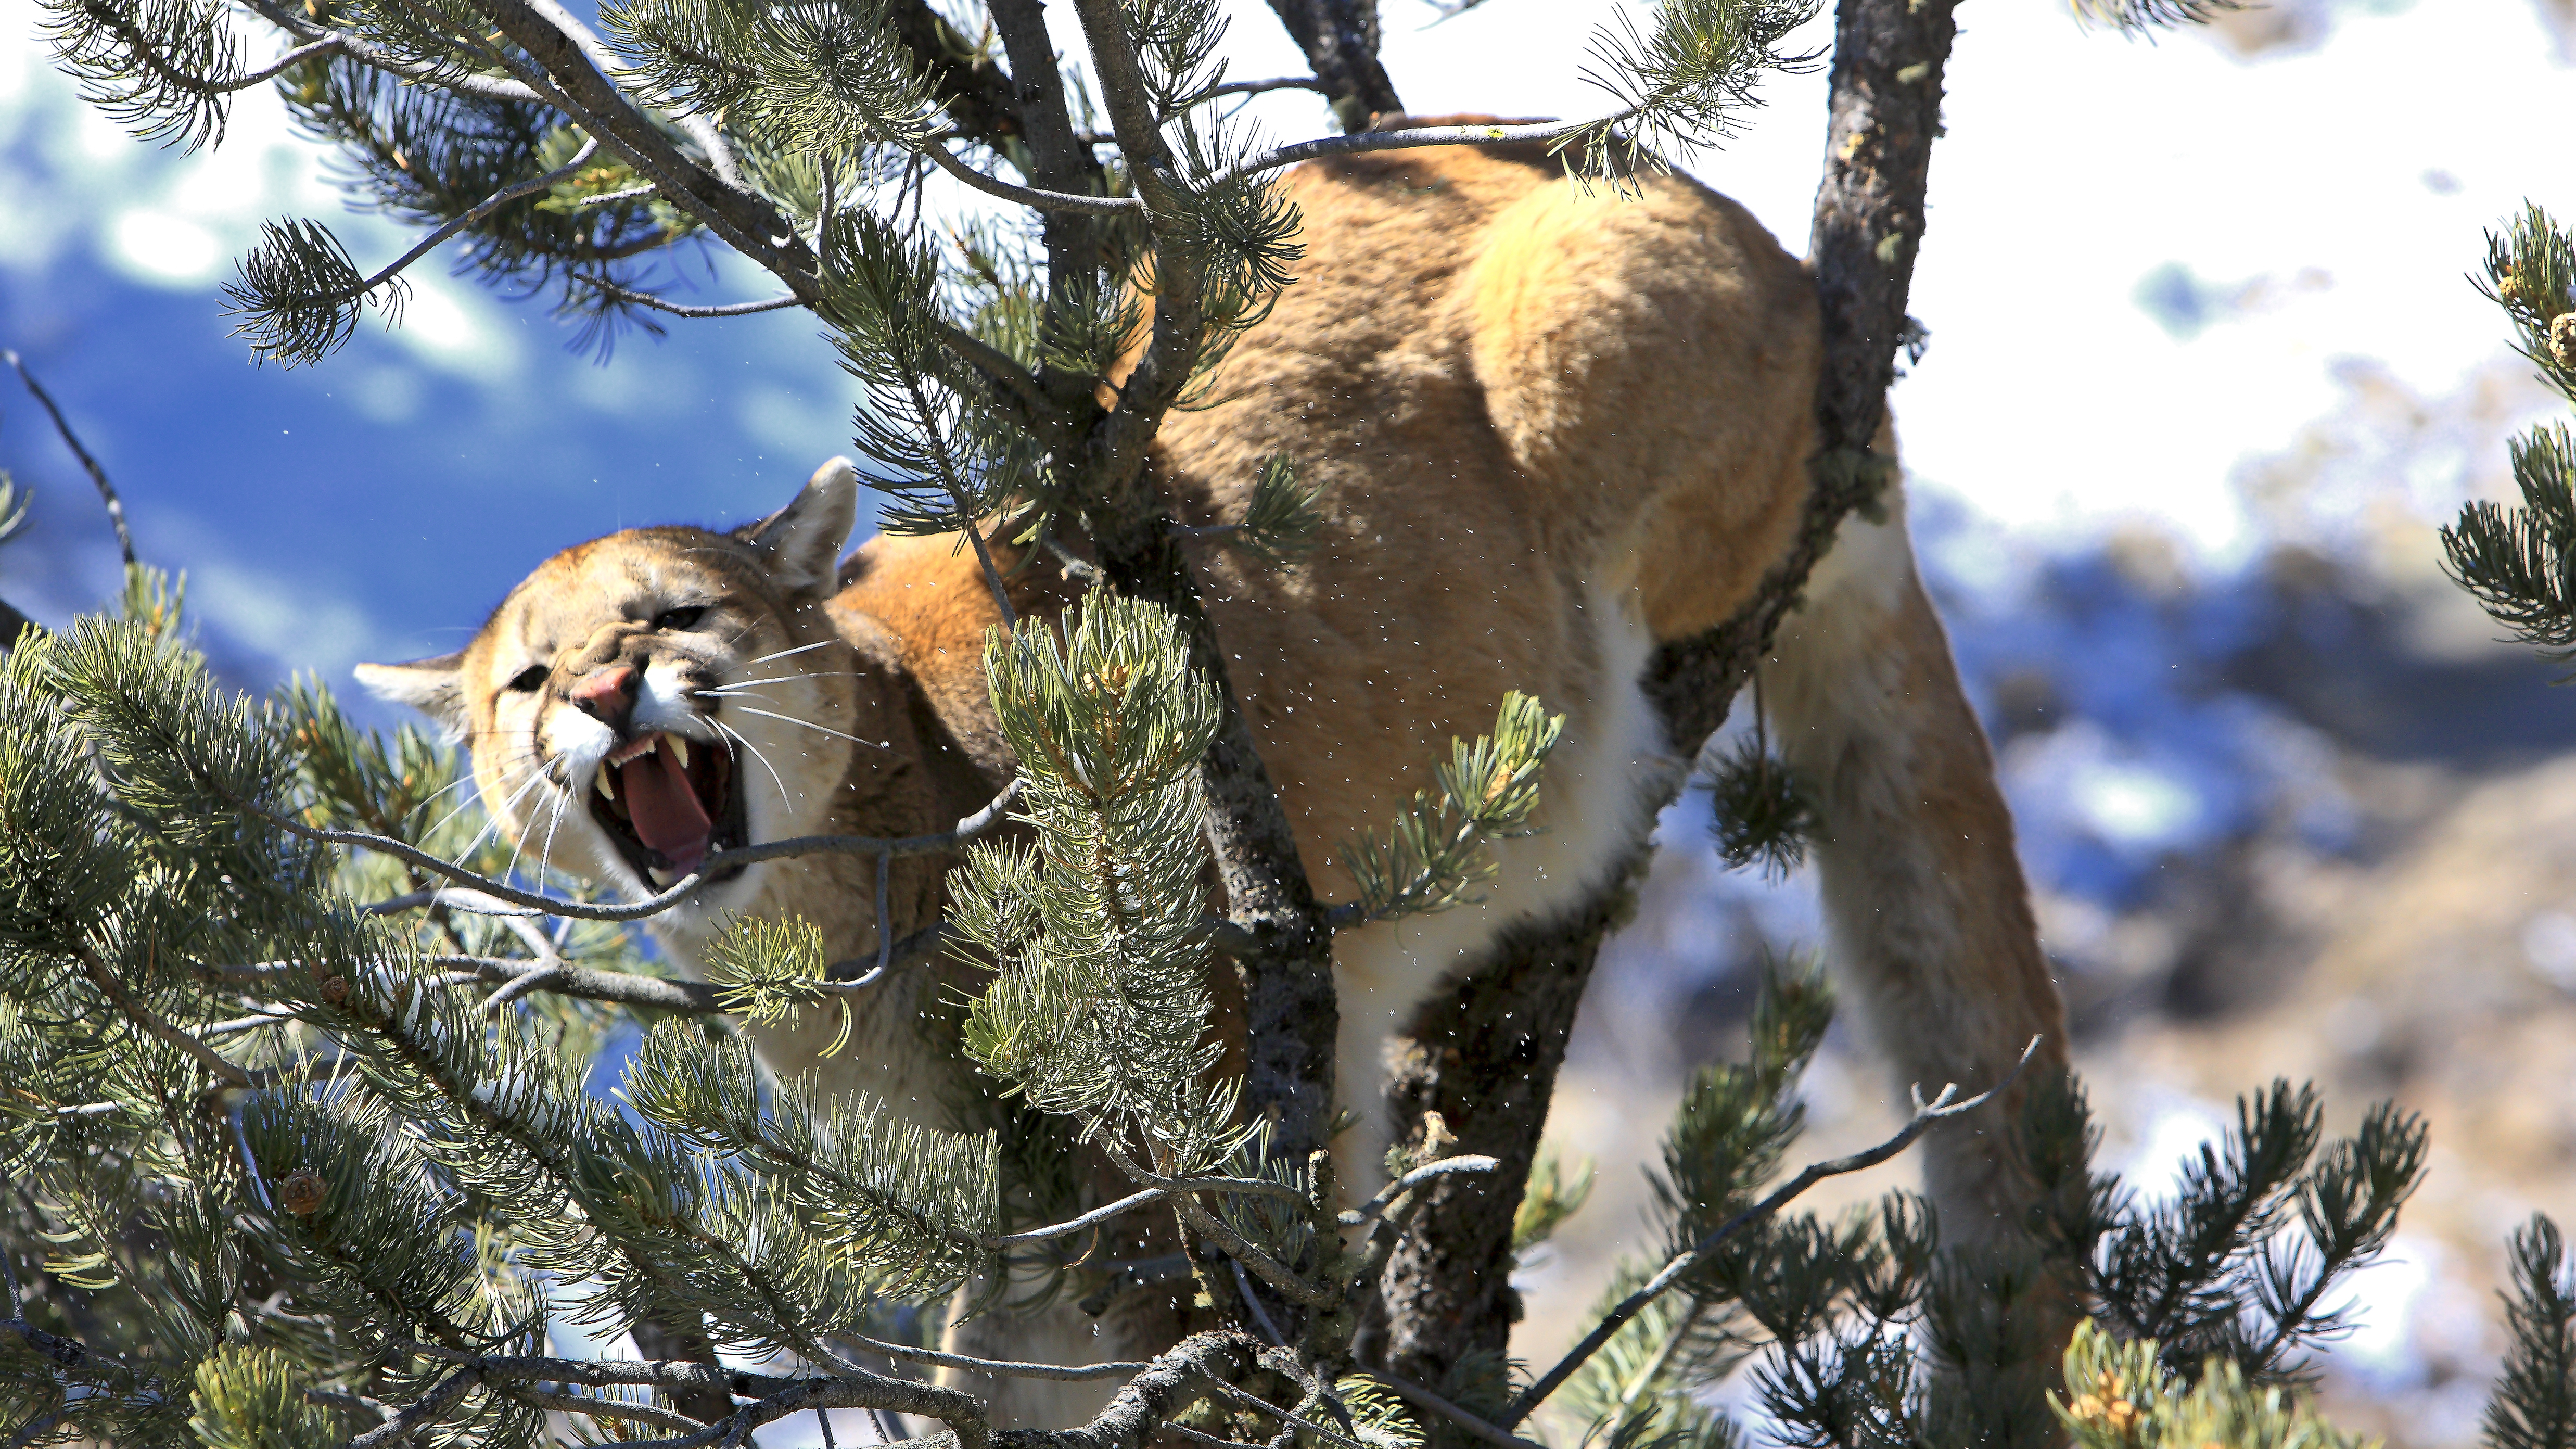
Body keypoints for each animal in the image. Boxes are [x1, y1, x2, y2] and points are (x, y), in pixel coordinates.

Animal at [357, 135, 2066, 1420]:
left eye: (673, 616)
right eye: (526, 682)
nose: (603, 690)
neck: (827, 923)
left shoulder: (1211, 1035)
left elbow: (1229, 1248)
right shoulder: (1007, 1226)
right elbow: (1005, 1356)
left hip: (1588, 332)